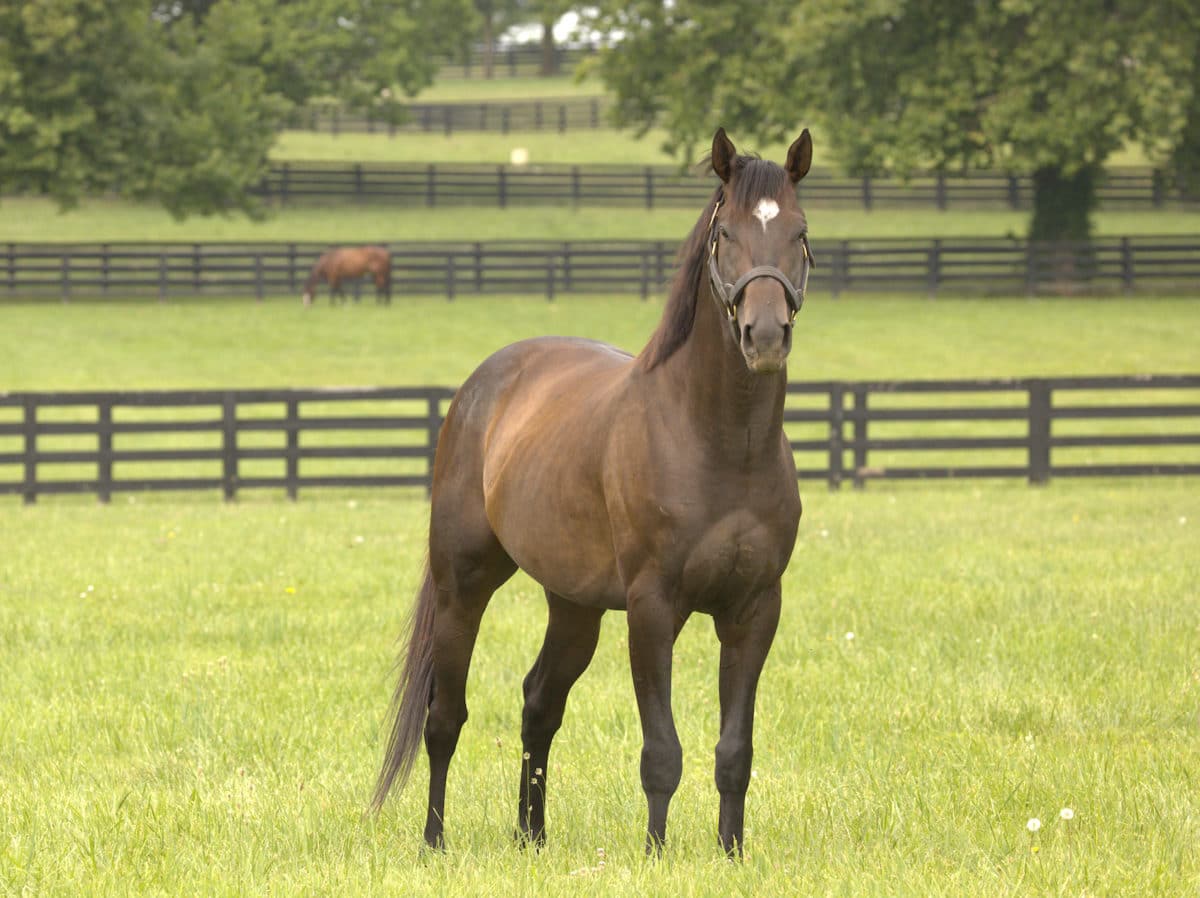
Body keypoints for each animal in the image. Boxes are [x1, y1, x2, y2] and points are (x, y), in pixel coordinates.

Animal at [372, 127, 814, 858]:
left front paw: (731, 855)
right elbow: (661, 750)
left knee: (539, 703)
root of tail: (483, 386)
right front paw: (657, 856)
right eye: (724, 232)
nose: (766, 335)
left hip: (573, 604)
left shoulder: (756, 609)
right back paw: (434, 841)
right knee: (445, 717)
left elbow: (734, 752)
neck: (720, 445)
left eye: (800, 233)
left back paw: (531, 837)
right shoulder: (652, 608)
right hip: (463, 584)